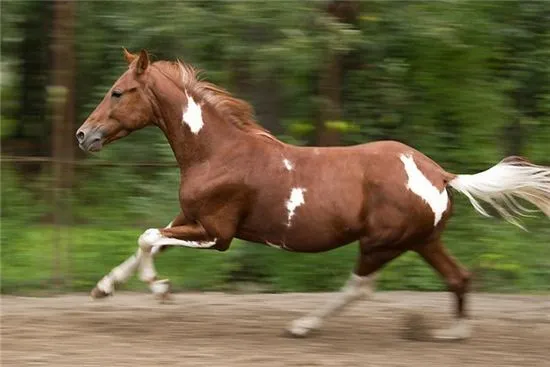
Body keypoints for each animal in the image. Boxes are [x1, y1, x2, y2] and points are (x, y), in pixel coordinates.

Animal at [76, 49, 550, 342]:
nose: (83, 135)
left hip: (381, 243)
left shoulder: (217, 233)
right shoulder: (189, 220)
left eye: (118, 91)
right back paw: (453, 333)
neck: (218, 152)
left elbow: (147, 237)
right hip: (422, 241)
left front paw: (160, 289)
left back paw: (302, 326)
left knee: (360, 288)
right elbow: (147, 241)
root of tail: (440, 174)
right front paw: (103, 288)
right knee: (458, 277)